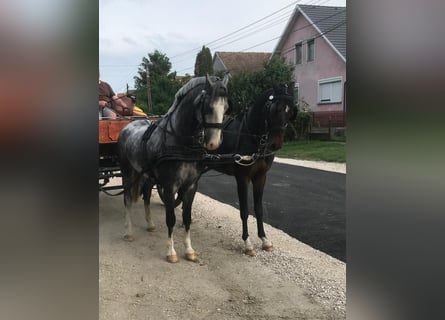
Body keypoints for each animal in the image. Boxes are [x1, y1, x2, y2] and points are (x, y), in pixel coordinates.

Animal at [116, 75, 229, 262]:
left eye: (226, 107)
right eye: (208, 106)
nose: (214, 143)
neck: (180, 142)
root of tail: (127, 127)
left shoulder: (190, 186)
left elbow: (187, 218)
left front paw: (189, 250)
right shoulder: (170, 187)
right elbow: (171, 219)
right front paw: (171, 252)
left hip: (147, 176)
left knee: (146, 196)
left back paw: (150, 224)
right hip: (128, 173)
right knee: (127, 200)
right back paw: (129, 231)